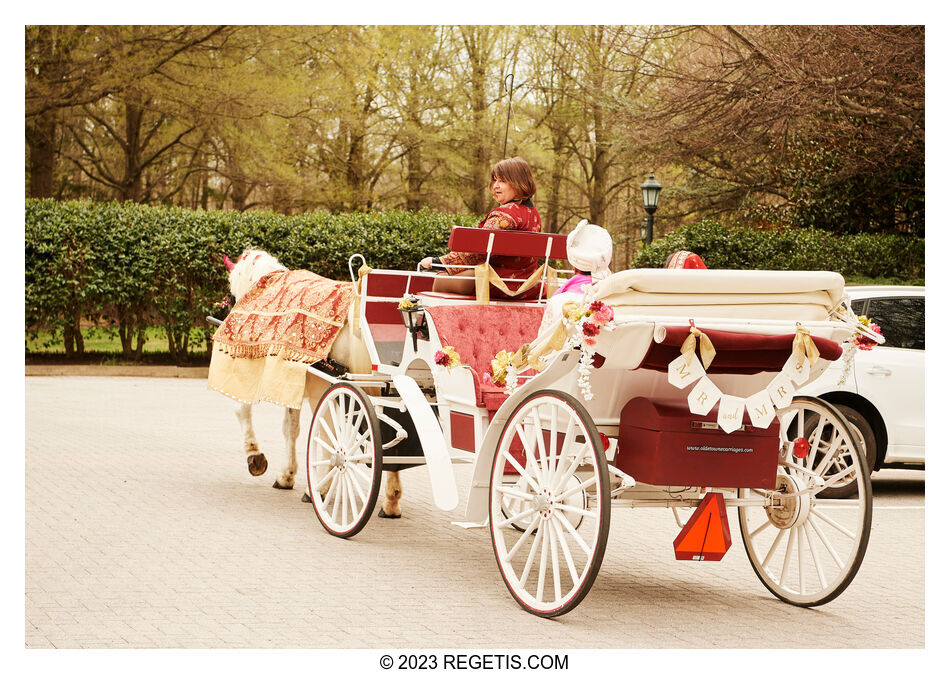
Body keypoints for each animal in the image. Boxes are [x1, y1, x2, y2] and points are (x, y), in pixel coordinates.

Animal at [224, 249, 406, 516]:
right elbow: (291, 428)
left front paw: (254, 453)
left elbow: (242, 408)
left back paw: (319, 489)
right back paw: (391, 500)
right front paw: (287, 474)